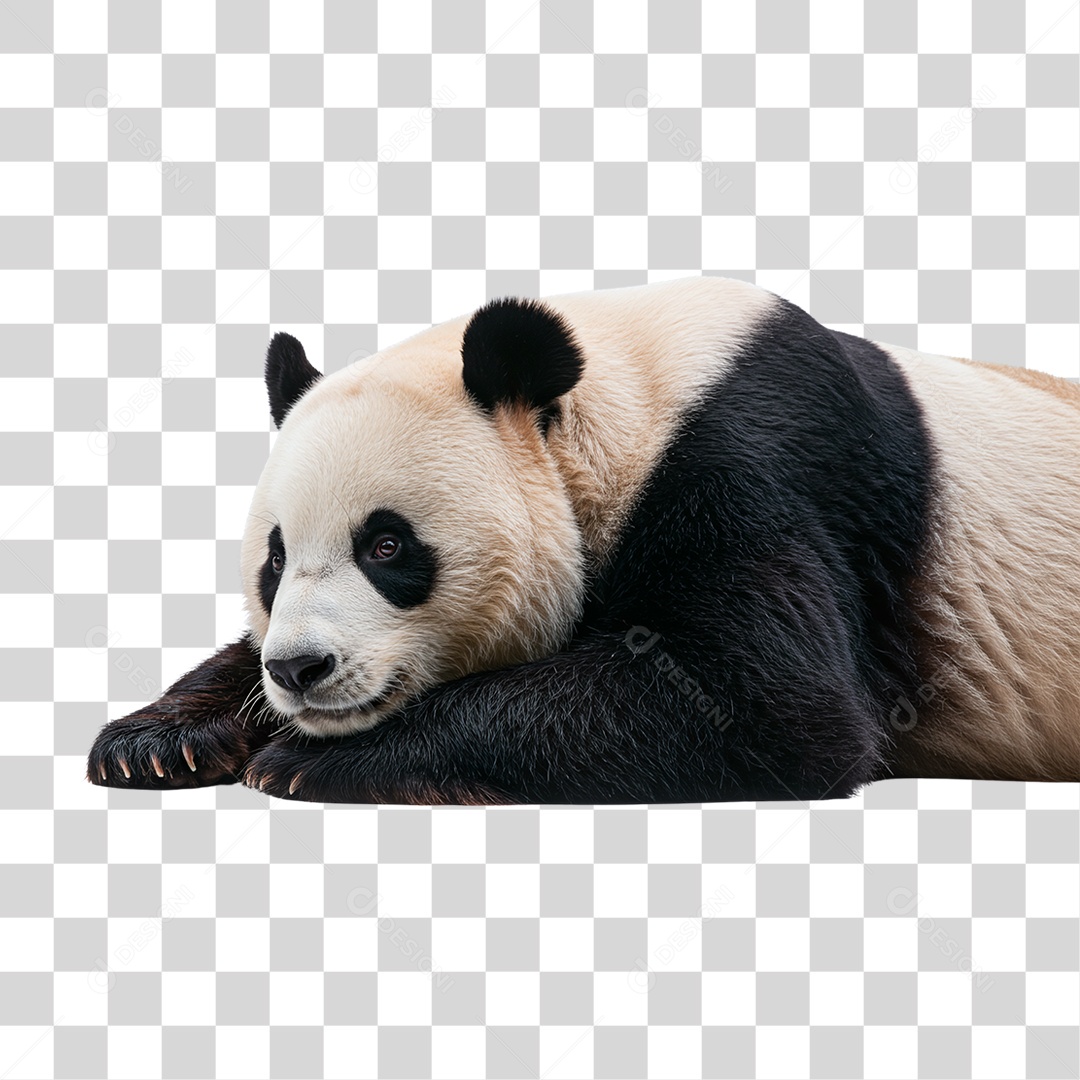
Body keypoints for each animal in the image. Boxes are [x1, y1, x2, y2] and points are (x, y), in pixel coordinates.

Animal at [87, 275, 1080, 803]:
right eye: (275, 557)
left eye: (387, 548)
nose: (298, 670)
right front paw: (157, 740)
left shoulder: (756, 463)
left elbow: (774, 705)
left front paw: (312, 759)